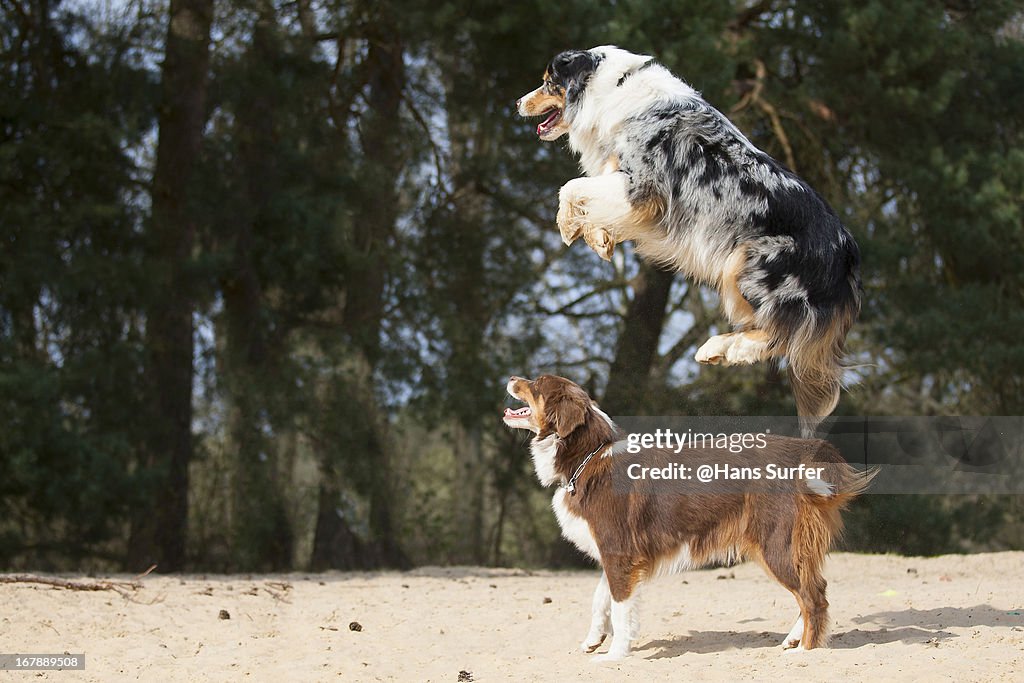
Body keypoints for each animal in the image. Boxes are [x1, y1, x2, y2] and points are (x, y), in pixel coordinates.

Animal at [503, 374, 872, 663]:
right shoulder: (615, 553)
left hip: (777, 545)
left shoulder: (619, 552)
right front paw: (594, 640)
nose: (510, 377)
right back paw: (794, 639)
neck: (589, 455)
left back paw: (805, 651)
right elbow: (600, 597)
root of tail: (803, 455)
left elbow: (621, 608)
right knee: (812, 591)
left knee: (814, 596)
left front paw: (615, 656)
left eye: (535, 384)